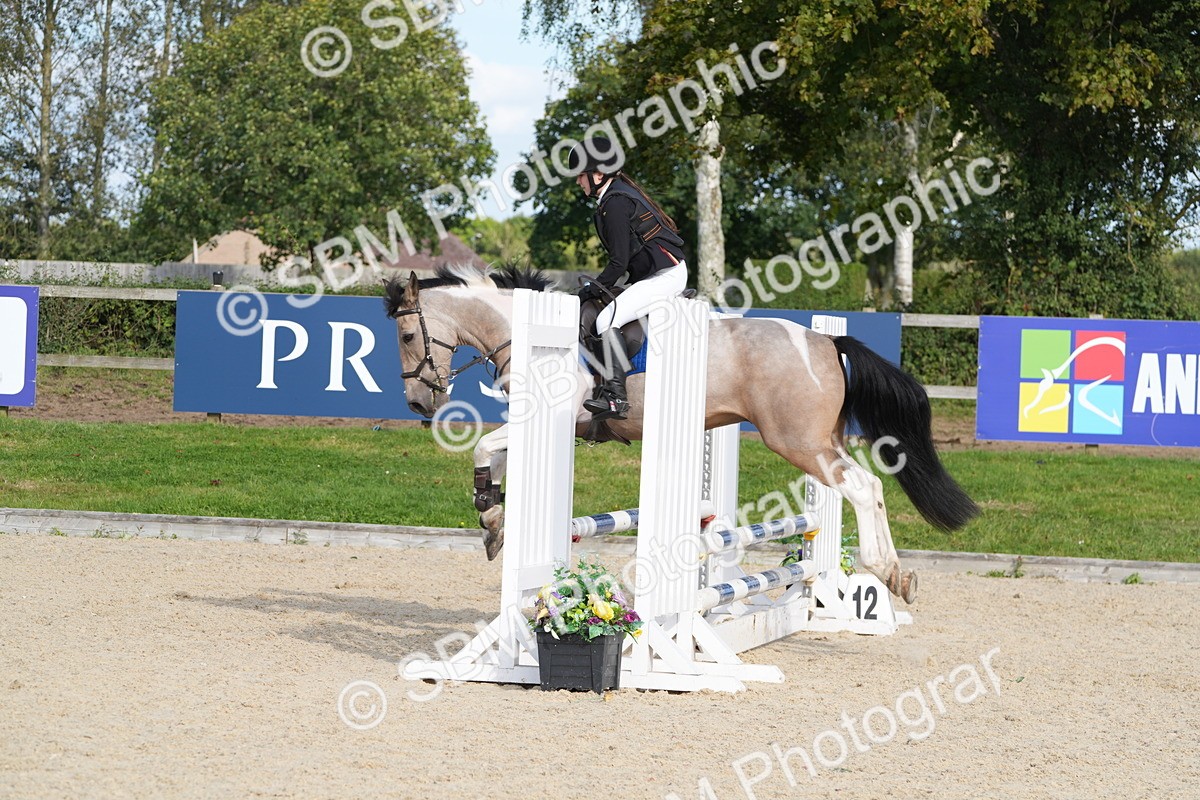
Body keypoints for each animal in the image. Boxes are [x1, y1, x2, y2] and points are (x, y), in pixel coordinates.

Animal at [384, 265, 980, 604]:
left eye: (409, 335)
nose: (417, 403)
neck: (528, 328)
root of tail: (825, 342)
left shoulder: (557, 414)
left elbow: (485, 445)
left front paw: (491, 517)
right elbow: (496, 461)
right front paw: (492, 519)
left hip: (798, 442)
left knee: (861, 487)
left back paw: (884, 570)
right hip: (820, 440)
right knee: (870, 487)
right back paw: (898, 576)